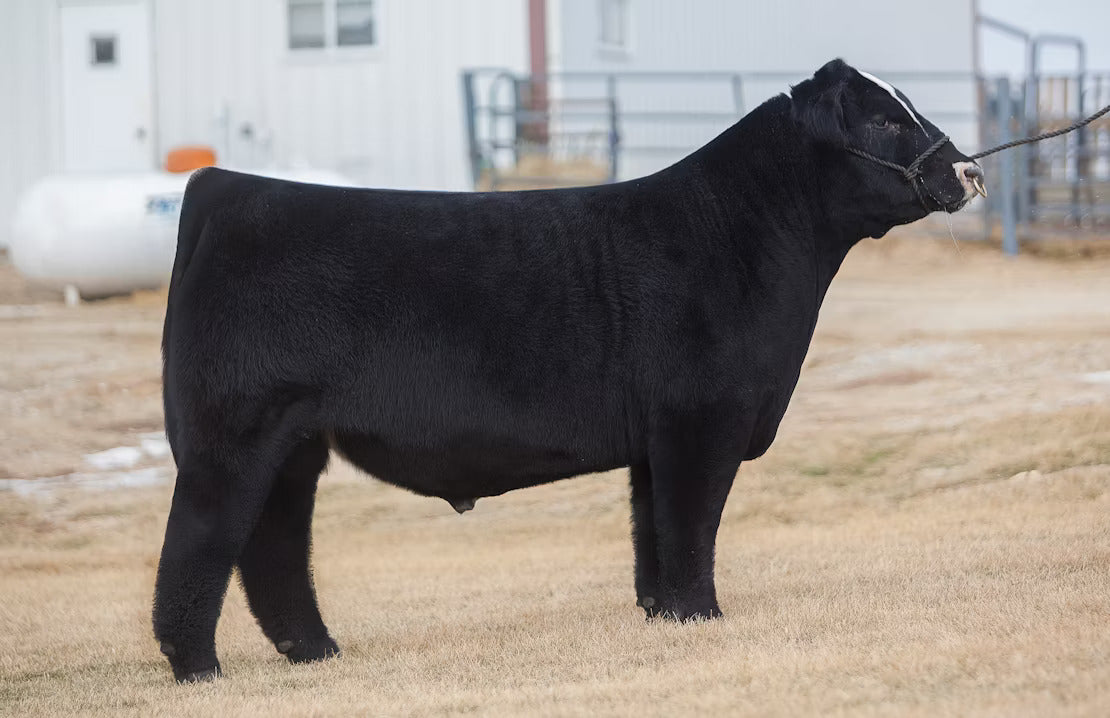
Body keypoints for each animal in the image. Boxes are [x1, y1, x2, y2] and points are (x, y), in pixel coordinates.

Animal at [153, 59, 985, 682]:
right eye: (883, 119)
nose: (969, 170)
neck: (746, 236)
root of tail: (226, 187)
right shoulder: (700, 419)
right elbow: (691, 522)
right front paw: (702, 615)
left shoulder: (657, 438)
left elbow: (654, 530)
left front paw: (663, 617)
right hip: (232, 433)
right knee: (201, 541)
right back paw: (199, 669)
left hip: (293, 443)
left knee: (273, 545)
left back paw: (317, 653)